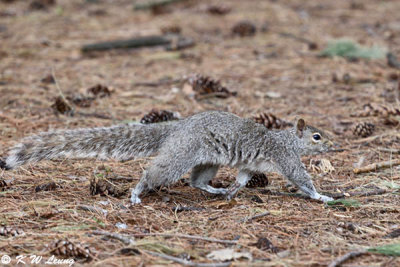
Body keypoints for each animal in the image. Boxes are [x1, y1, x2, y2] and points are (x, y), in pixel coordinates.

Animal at [0, 112, 336, 204]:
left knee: (197, 180)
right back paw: (137, 193)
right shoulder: (286, 158)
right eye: (317, 137)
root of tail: (178, 127)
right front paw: (323, 197)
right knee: (154, 174)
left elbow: (242, 178)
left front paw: (233, 191)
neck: (287, 139)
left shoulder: (249, 165)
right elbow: (302, 179)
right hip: (180, 157)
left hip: (208, 161)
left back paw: (216, 190)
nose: (336, 145)